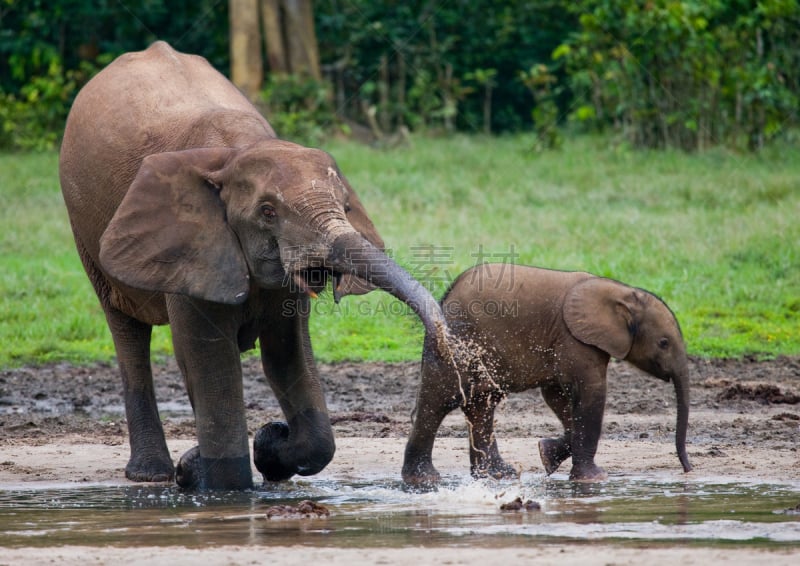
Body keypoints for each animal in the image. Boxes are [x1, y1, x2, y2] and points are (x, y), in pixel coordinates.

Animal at [61, 41, 450, 492]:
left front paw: (268, 447)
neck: (235, 153)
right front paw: (223, 485)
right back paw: (154, 473)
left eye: (345, 205)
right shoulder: (194, 244)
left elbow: (287, 355)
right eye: (267, 212)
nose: (443, 343)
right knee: (127, 331)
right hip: (85, 231)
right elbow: (211, 362)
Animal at [404, 264, 692, 486]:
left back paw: (498, 475)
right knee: (439, 402)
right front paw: (593, 480)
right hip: (454, 346)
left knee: (481, 404)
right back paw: (423, 479)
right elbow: (591, 393)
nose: (688, 469)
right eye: (664, 343)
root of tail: (446, 294)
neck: (621, 291)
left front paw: (546, 456)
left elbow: (556, 395)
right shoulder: (574, 340)